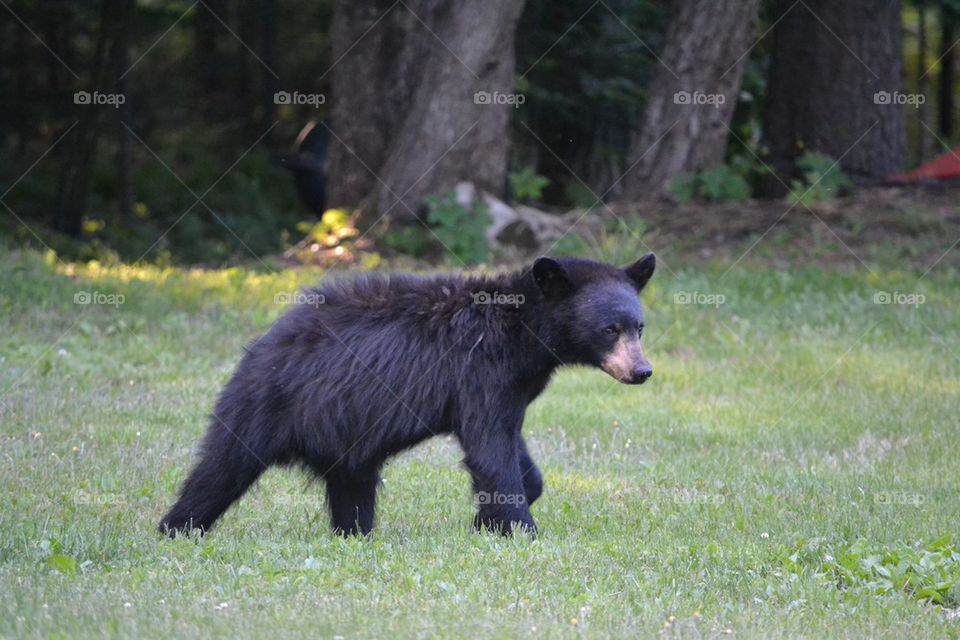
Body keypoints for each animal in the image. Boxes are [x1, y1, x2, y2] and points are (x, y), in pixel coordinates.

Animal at [159, 253, 656, 537]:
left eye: (639, 326)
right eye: (609, 329)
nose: (642, 371)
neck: (522, 333)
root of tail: (260, 345)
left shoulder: (511, 387)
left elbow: (515, 451)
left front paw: (485, 520)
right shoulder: (480, 374)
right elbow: (490, 450)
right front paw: (519, 531)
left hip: (346, 438)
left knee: (353, 487)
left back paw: (354, 533)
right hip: (267, 406)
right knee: (220, 470)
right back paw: (177, 527)